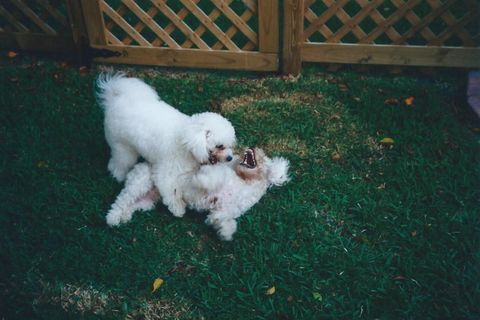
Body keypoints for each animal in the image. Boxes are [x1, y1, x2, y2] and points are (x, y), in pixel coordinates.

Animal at [96, 73, 236, 218]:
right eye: (220, 146)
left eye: (229, 145)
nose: (230, 158)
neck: (187, 142)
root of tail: (114, 98)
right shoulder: (166, 172)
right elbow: (171, 191)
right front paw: (178, 208)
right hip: (123, 148)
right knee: (118, 163)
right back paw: (118, 176)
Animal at [107, 148, 290, 240]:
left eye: (262, 155)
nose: (251, 147)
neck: (245, 183)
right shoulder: (219, 174)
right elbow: (212, 177)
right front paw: (201, 178)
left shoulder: (223, 211)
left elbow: (224, 221)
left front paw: (225, 233)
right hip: (140, 183)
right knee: (120, 201)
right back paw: (113, 218)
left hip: (147, 202)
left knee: (130, 206)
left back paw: (124, 217)